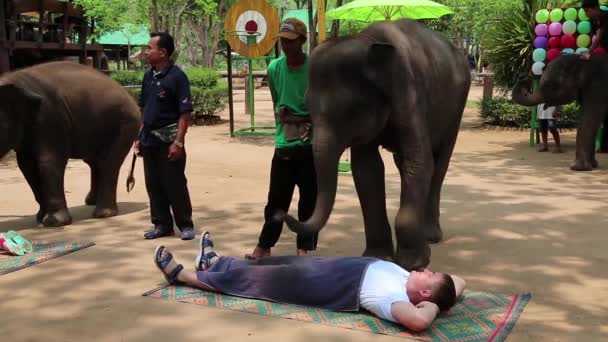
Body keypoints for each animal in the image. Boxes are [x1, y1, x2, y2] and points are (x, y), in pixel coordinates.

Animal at [0, 61, 139, 227]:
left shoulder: (50, 118)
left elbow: (49, 161)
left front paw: (54, 222)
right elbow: (27, 167)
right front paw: (40, 219)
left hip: (125, 123)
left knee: (108, 162)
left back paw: (103, 214)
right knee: (95, 162)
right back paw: (91, 202)